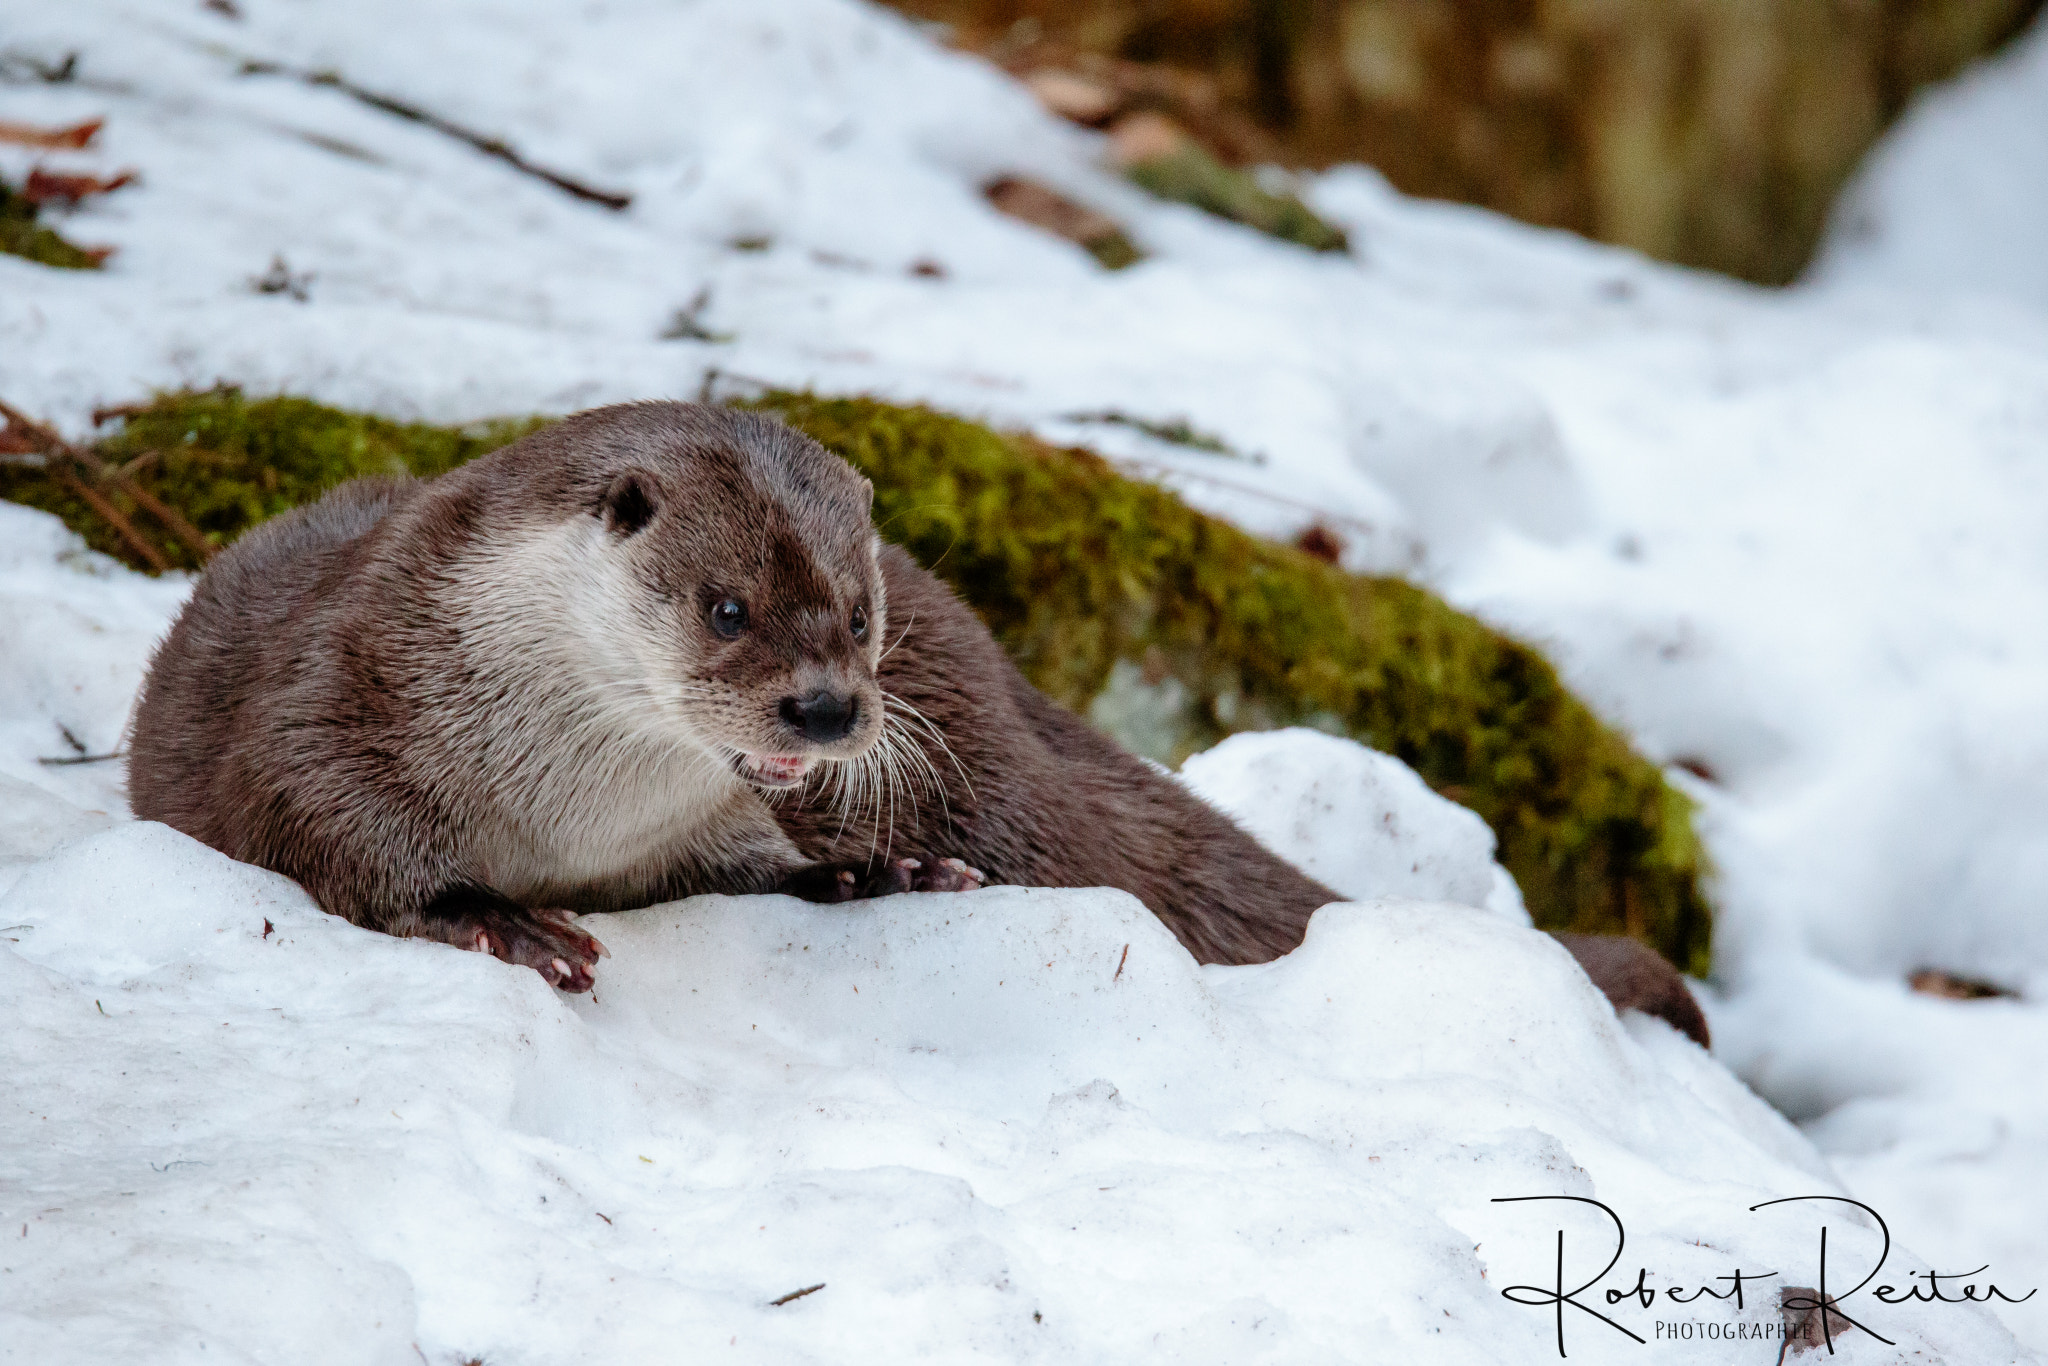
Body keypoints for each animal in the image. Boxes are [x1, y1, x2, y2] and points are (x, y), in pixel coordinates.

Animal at [127, 402, 1707, 1046]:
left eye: (853, 609)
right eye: (726, 608)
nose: (828, 708)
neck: (567, 812)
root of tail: (1008, 688)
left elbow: (762, 869)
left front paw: (873, 877)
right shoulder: (329, 702)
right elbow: (329, 833)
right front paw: (499, 920)